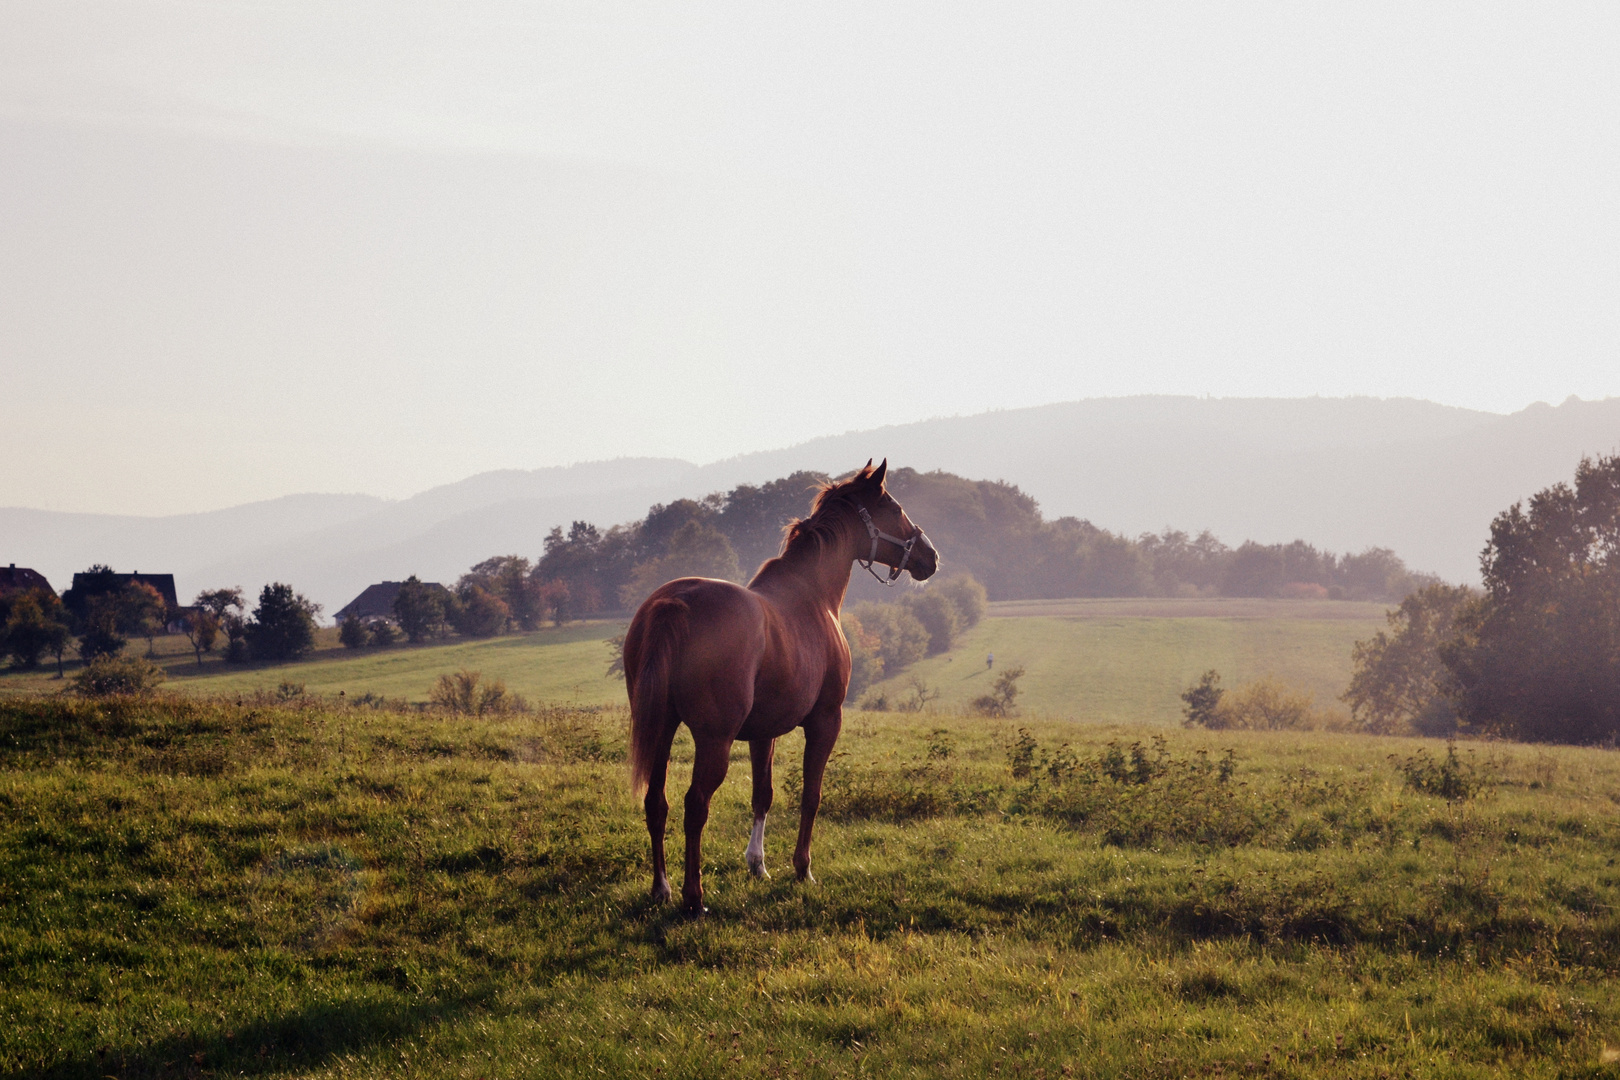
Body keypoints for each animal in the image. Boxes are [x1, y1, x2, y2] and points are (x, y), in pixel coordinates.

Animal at [625, 459, 946, 919]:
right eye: (895, 508)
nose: (930, 557)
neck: (813, 597)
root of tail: (675, 603)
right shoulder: (826, 721)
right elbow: (811, 795)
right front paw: (802, 868)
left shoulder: (763, 732)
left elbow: (763, 795)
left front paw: (757, 865)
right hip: (714, 740)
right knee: (694, 805)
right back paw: (693, 897)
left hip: (661, 729)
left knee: (657, 803)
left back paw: (661, 888)